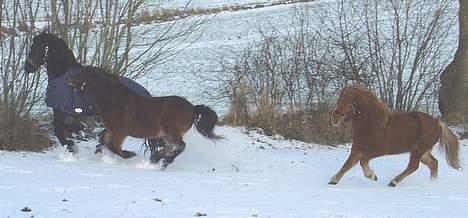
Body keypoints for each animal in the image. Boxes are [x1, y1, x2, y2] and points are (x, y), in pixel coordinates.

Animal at [68, 65, 222, 167]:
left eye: (85, 73)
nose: (69, 79)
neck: (115, 100)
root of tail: (192, 108)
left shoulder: (121, 132)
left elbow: (114, 146)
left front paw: (130, 154)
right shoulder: (112, 130)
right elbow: (105, 140)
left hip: (170, 130)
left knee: (180, 146)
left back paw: (164, 161)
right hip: (167, 133)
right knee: (173, 146)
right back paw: (157, 158)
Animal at [330, 84, 460, 186]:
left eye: (348, 100)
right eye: (339, 98)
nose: (334, 118)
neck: (372, 124)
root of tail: (438, 122)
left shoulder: (380, 150)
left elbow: (363, 160)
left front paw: (372, 175)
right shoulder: (357, 148)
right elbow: (347, 164)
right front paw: (333, 180)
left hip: (418, 150)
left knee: (414, 166)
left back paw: (393, 182)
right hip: (423, 152)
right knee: (433, 163)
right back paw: (432, 183)